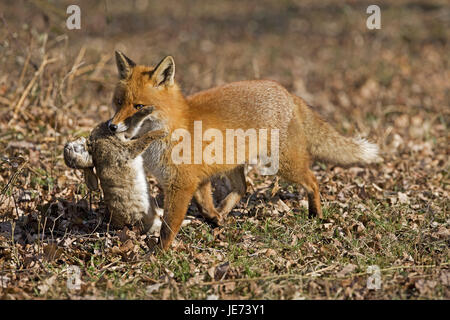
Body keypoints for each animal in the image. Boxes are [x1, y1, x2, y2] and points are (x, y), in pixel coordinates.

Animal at [108, 52, 380, 250]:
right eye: (118, 103)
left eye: (139, 106)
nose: (112, 126)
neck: (173, 127)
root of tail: (287, 92)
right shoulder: (196, 178)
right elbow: (204, 203)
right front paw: (214, 218)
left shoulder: (181, 184)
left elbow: (169, 225)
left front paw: (158, 253)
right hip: (234, 163)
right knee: (243, 187)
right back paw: (224, 213)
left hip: (283, 165)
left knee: (312, 180)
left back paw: (316, 213)